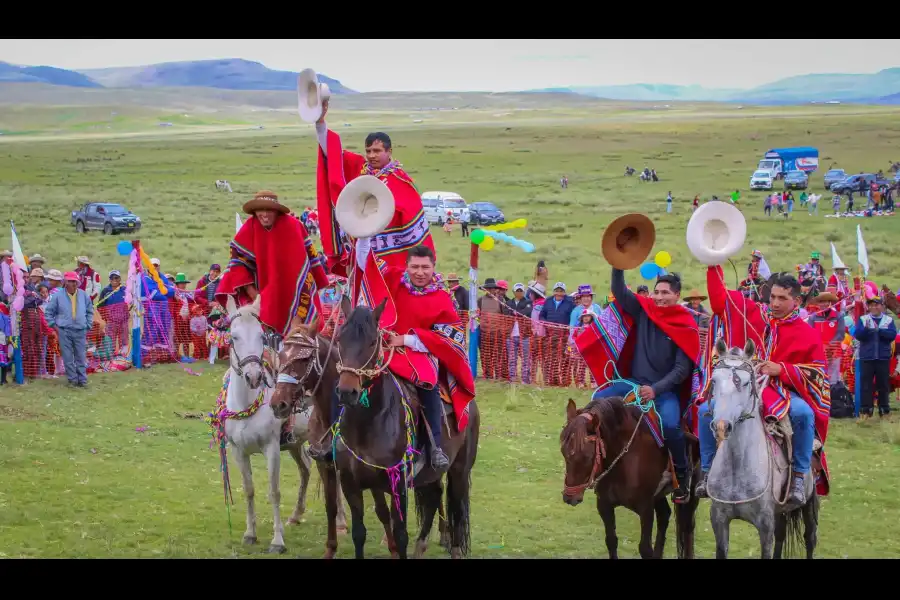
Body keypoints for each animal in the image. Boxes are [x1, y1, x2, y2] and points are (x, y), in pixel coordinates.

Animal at [334, 298, 482, 560]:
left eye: (373, 342)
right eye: (340, 338)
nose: (346, 392)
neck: (367, 425)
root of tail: (469, 403)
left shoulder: (398, 484)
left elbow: (400, 534)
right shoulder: (350, 483)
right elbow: (359, 533)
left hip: (460, 470)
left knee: (456, 508)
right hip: (429, 474)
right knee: (434, 496)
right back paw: (421, 546)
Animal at [560, 396, 700, 560]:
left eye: (587, 456)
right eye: (563, 451)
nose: (570, 497)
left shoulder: (646, 508)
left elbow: (645, 548)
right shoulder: (604, 504)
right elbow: (611, 541)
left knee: (687, 526)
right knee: (664, 516)